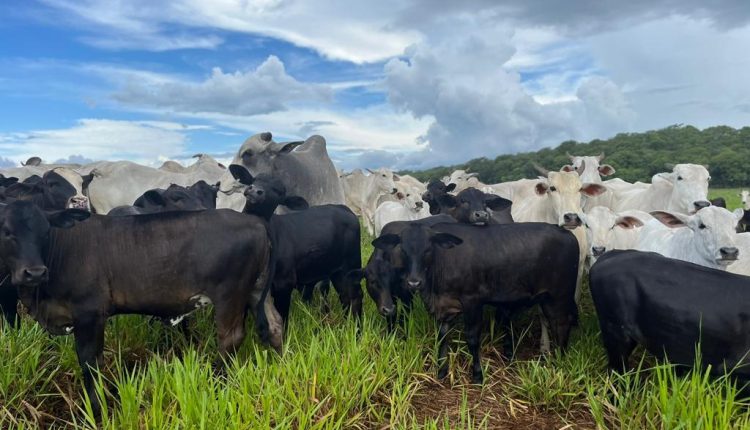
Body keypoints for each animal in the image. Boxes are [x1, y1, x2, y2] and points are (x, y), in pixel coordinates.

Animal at [0, 200, 283, 416]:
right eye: (5, 231)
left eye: (45, 231)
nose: (35, 272)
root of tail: (255, 221)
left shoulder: (89, 314)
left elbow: (90, 362)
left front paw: (96, 410)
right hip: (257, 290)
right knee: (274, 325)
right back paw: (280, 364)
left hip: (230, 295)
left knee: (230, 339)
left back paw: (217, 382)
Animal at [229, 165, 363, 321]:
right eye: (254, 179)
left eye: (278, 191)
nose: (255, 190)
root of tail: (342, 208)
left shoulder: (284, 284)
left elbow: (282, 318)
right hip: (336, 271)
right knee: (345, 296)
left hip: (351, 266)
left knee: (355, 296)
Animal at [372, 222, 578, 383]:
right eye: (403, 250)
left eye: (428, 249)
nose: (414, 282)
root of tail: (566, 232)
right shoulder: (444, 308)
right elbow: (442, 337)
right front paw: (441, 371)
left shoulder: (472, 302)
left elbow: (472, 339)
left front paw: (478, 375)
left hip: (559, 296)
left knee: (561, 325)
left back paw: (559, 362)